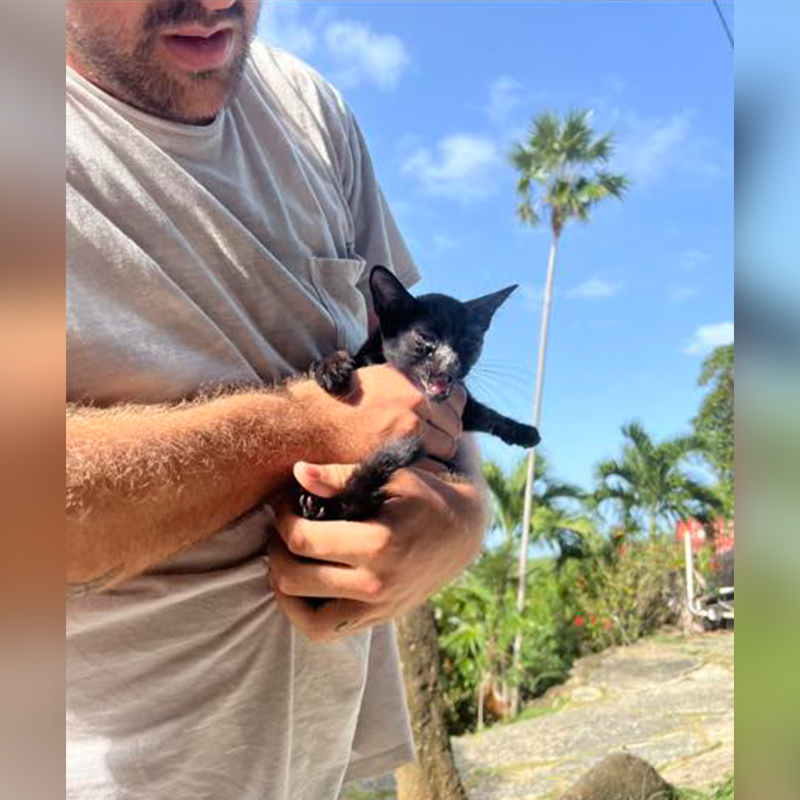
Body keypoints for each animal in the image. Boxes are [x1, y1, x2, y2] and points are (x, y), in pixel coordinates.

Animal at [296, 266, 540, 520]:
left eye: (469, 342)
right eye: (424, 337)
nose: (451, 362)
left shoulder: (462, 407)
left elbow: (487, 414)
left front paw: (524, 432)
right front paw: (331, 366)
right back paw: (318, 503)